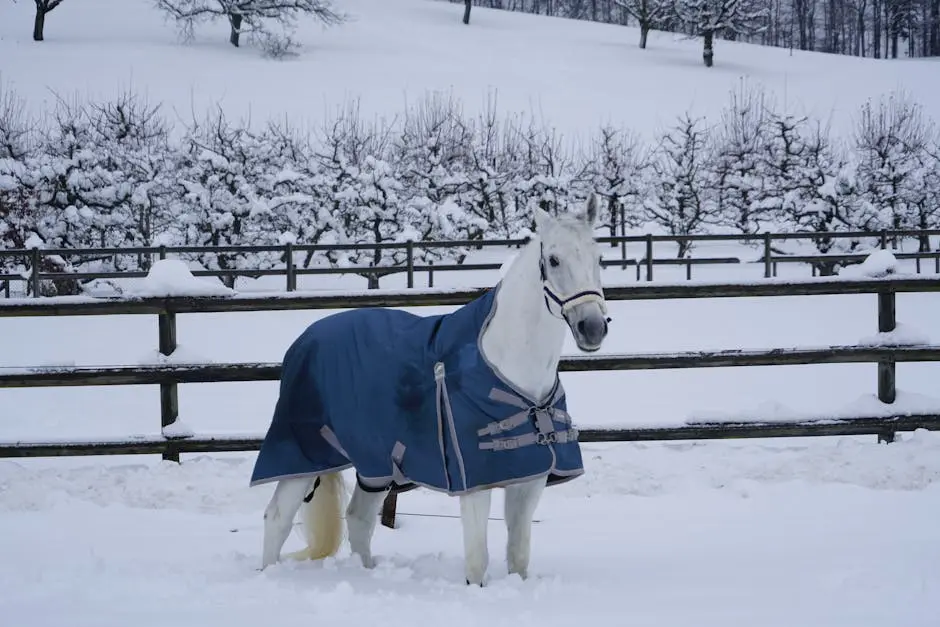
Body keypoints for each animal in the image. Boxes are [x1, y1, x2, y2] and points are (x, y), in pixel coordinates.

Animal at [250, 195, 610, 586]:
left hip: (375, 467)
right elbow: (477, 560)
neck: (507, 365)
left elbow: (518, 556)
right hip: (303, 458)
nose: (592, 327)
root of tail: (303, 341)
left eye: (598, 258)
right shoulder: (474, 484)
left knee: (359, 518)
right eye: (554, 259)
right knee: (277, 518)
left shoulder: (530, 479)